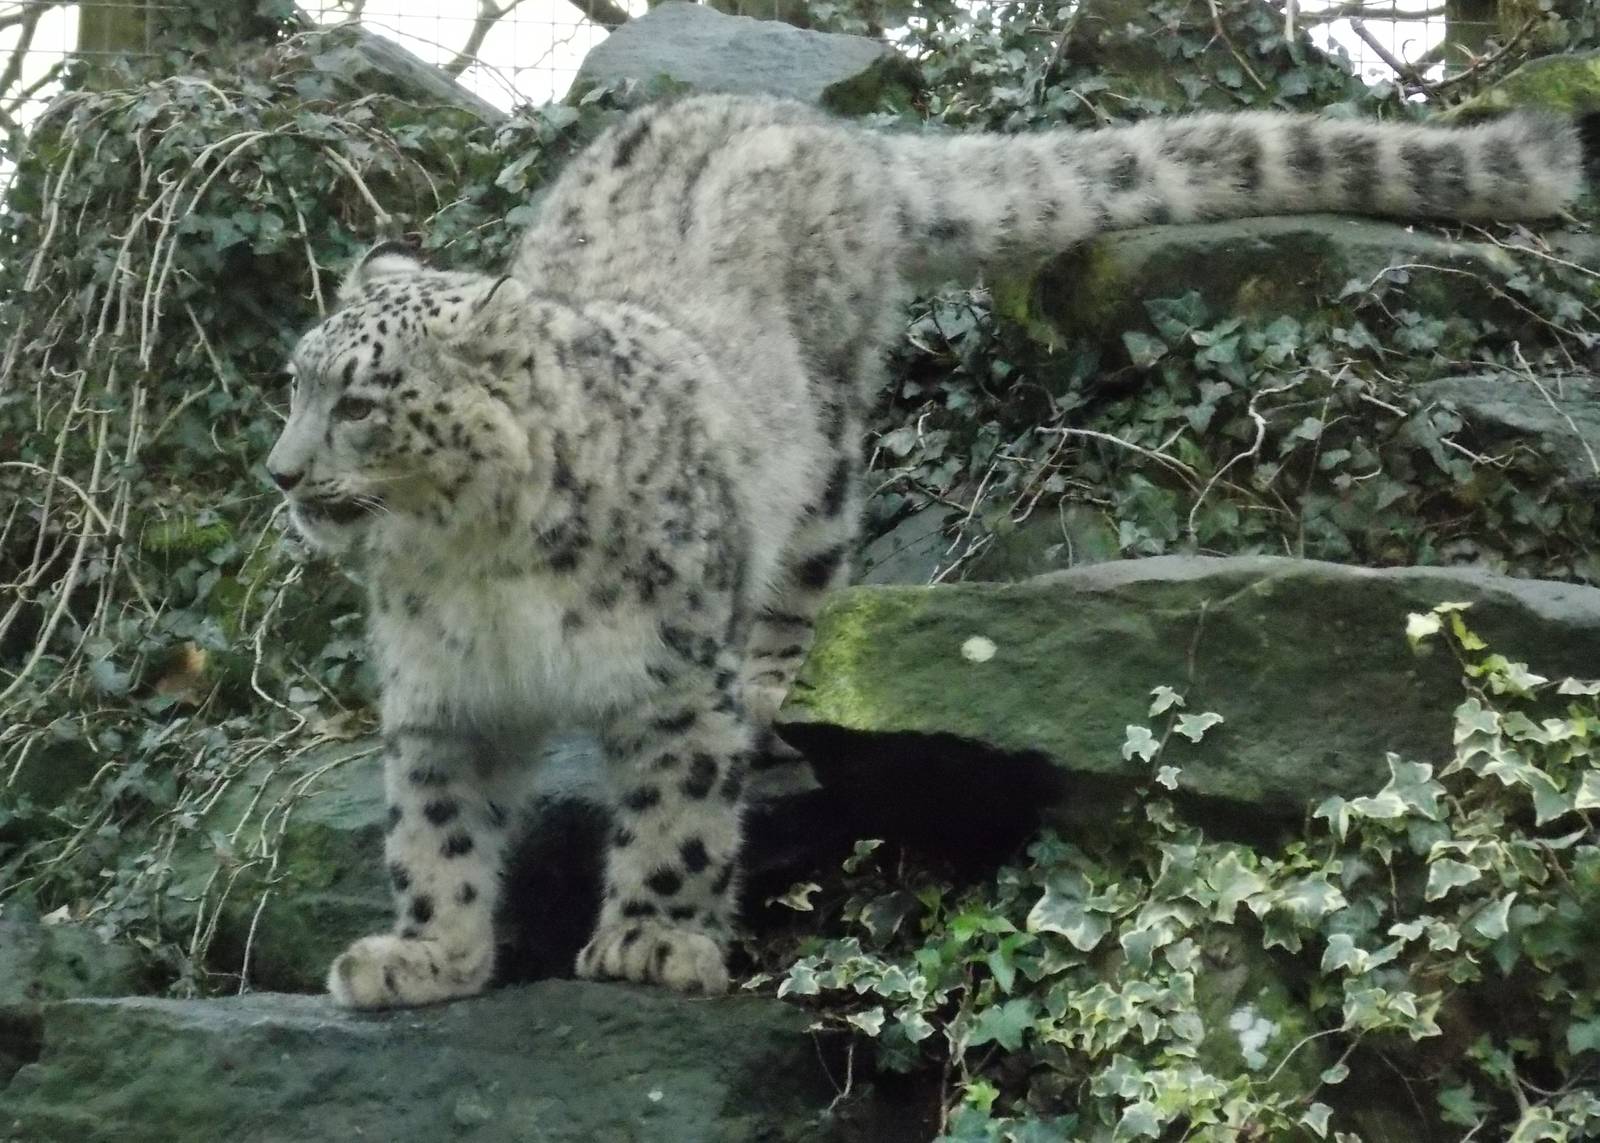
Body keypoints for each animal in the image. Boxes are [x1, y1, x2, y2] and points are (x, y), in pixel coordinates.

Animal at [267, 93, 1600, 1008]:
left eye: (363, 404)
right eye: (294, 381)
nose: (281, 474)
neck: (474, 571)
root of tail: (814, 123)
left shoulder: (668, 675)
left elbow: (676, 811)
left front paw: (651, 936)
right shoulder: (440, 698)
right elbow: (435, 834)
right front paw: (423, 954)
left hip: (823, 453)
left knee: (804, 577)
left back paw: (773, 685)